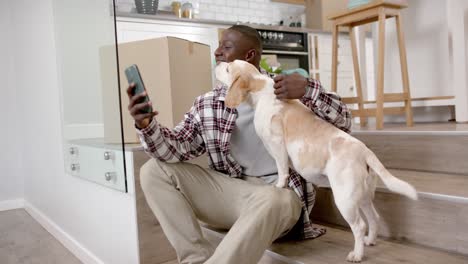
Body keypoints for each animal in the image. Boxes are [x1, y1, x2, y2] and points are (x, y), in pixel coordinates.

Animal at [216, 59, 416, 262]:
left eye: (228, 68)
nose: (218, 62)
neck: (262, 89)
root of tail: (364, 151)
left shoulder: (277, 145)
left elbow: (282, 170)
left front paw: (279, 185)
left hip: (345, 199)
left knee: (360, 226)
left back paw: (357, 254)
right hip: (364, 196)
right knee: (374, 218)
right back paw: (370, 240)